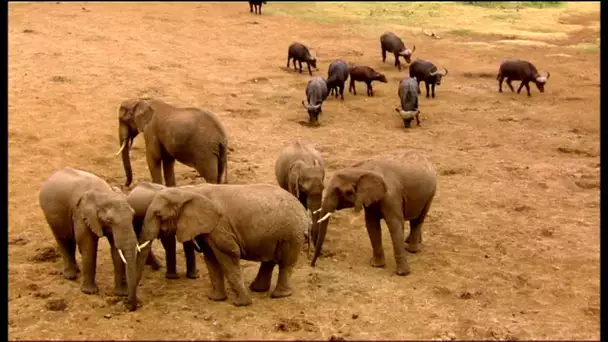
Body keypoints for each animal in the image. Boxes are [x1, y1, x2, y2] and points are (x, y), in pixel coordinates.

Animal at [38, 167, 141, 312]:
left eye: (133, 216)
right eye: (109, 220)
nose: (128, 304)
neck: (104, 192)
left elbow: (116, 250)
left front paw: (121, 293)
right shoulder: (81, 215)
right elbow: (88, 245)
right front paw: (90, 292)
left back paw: (77, 271)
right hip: (50, 213)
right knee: (63, 238)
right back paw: (70, 276)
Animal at [136, 184, 312, 308]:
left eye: (159, 215)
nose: (138, 304)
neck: (188, 191)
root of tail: (304, 211)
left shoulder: (220, 227)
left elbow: (230, 255)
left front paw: (241, 304)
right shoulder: (207, 230)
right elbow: (211, 260)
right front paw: (215, 299)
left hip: (292, 233)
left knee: (286, 263)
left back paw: (279, 295)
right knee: (269, 260)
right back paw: (257, 289)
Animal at [308, 150, 436, 276]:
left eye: (347, 192)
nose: (312, 264)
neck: (362, 169)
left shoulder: (391, 196)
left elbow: (395, 225)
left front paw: (402, 273)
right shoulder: (369, 198)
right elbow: (372, 225)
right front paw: (376, 265)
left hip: (431, 193)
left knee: (418, 219)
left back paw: (413, 250)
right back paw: (410, 242)